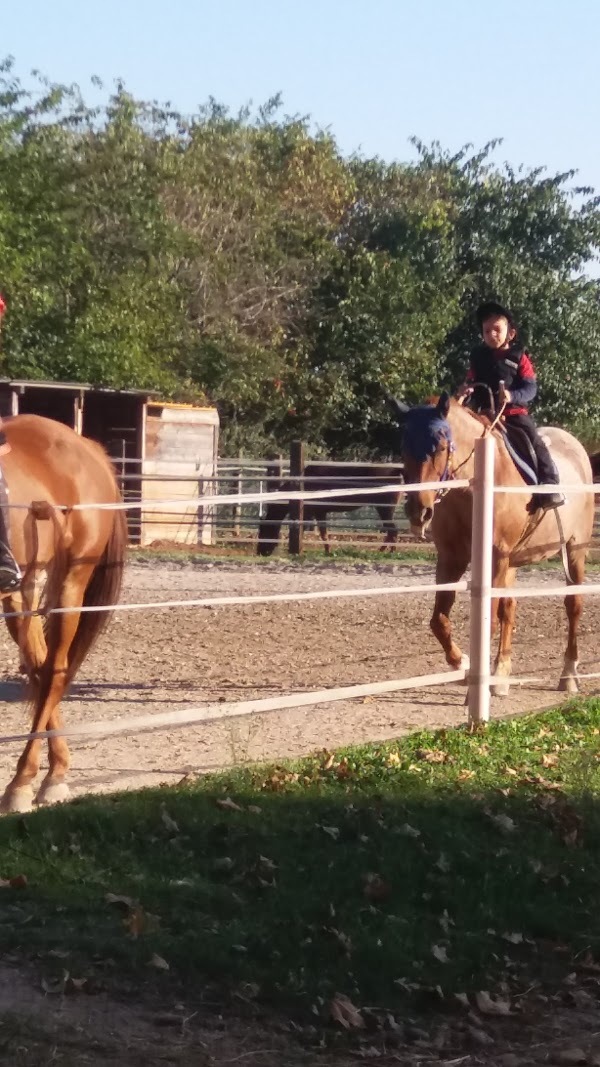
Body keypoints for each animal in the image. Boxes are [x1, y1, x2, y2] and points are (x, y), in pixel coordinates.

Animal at [0, 413, 125, 806]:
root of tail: (86, 446)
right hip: (20, 593)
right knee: (40, 668)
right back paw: (53, 770)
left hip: (71, 582)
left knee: (54, 669)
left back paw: (25, 781)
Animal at [388, 396, 593, 695]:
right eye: (404, 448)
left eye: (441, 447)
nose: (419, 511)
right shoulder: (451, 558)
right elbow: (439, 620)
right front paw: (462, 664)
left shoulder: (496, 558)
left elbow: (489, 621)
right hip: (513, 561)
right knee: (509, 607)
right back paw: (501, 674)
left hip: (575, 550)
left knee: (573, 606)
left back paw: (568, 675)